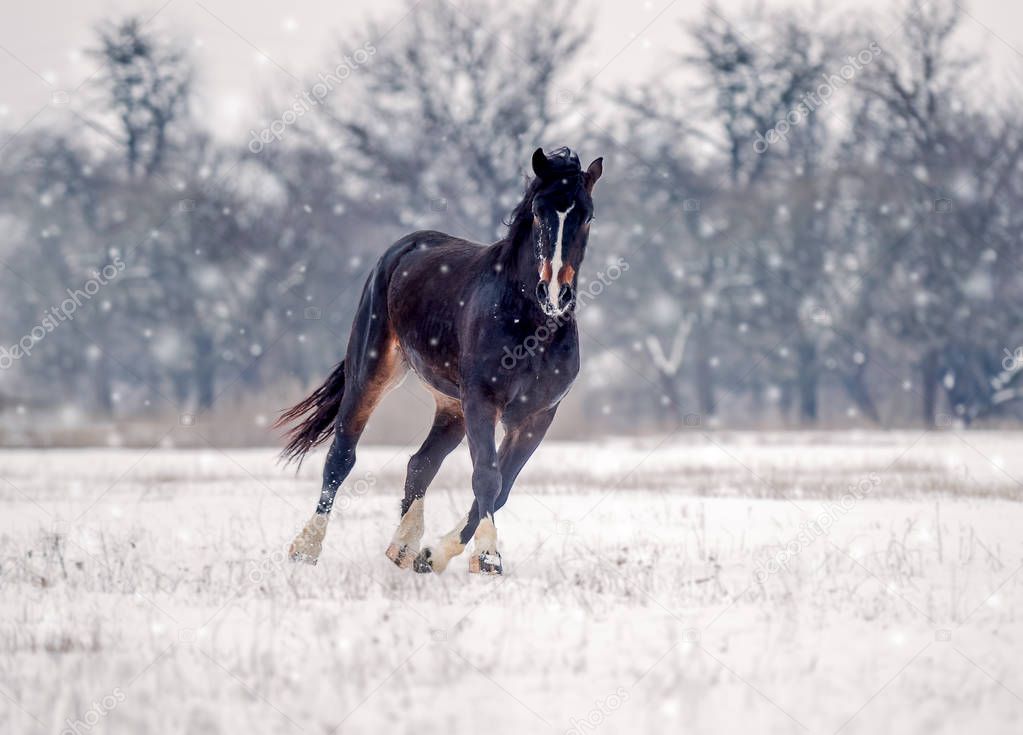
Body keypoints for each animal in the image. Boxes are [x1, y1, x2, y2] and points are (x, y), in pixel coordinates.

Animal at [276, 148, 601, 577]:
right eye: (538, 209)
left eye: (588, 215)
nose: (554, 293)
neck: (531, 325)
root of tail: (403, 249)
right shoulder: (482, 401)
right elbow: (488, 477)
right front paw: (488, 557)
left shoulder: (537, 416)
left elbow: (503, 486)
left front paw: (435, 555)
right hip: (372, 374)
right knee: (341, 456)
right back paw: (306, 548)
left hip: (452, 408)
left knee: (420, 464)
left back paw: (403, 548)